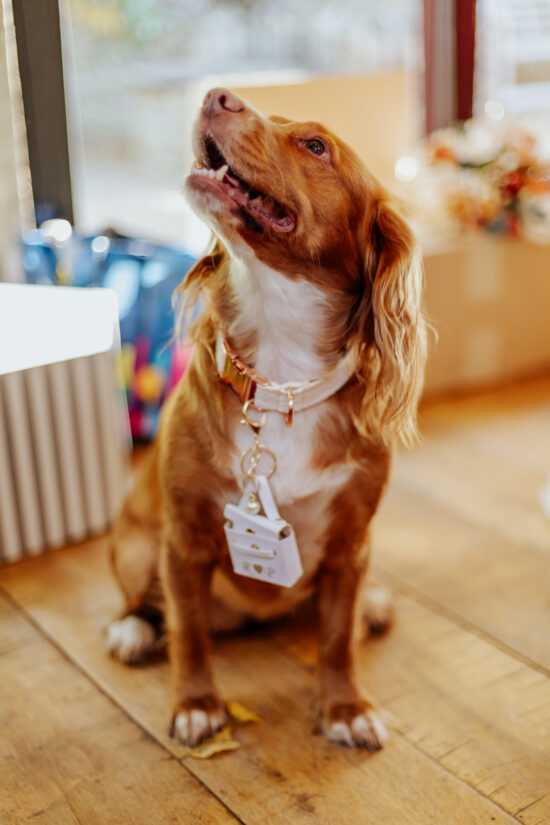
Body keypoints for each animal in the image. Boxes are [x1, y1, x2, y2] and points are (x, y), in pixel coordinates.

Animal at [106, 87, 426, 748]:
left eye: (315, 145)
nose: (216, 94)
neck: (282, 382)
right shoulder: (184, 542)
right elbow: (189, 633)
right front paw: (196, 703)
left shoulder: (351, 543)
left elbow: (337, 637)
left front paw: (345, 707)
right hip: (136, 547)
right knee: (143, 600)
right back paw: (132, 628)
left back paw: (373, 602)